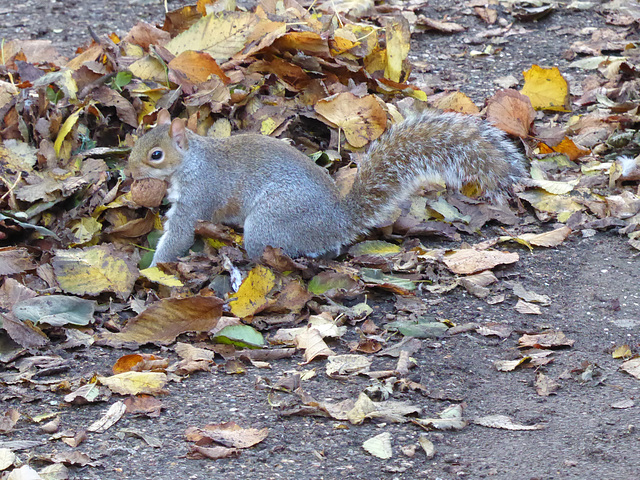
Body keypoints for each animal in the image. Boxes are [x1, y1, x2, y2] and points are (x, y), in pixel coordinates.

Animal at [129, 109, 524, 264]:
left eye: (156, 154)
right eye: (137, 139)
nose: (128, 171)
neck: (191, 160)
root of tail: (336, 221)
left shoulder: (198, 194)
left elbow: (179, 234)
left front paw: (154, 269)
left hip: (270, 222)